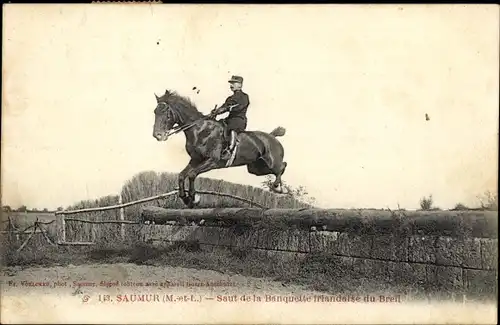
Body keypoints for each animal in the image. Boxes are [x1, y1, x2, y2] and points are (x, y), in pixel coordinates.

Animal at [151, 88, 290, 208]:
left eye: (167, 113)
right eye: (155, 112)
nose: (157, 135)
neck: (200, 130)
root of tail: (272, 136)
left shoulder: (212, 161)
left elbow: (191, 174)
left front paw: (194, 198)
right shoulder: (195, 160)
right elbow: (181, 175)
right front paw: (186, 199)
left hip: (271, 163)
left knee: (282, 166)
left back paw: (278, 188)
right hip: (255, 168)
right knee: (280, 168)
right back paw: (278, 188)